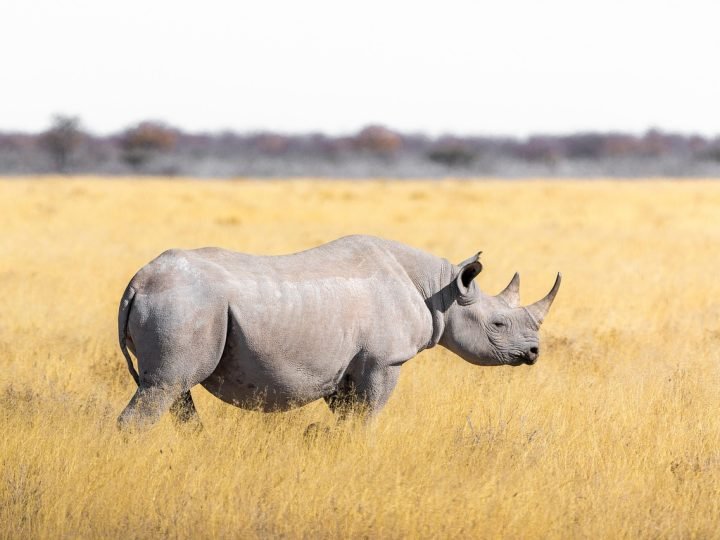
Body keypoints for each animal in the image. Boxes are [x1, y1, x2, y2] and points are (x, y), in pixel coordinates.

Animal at [117, 235, 560, 430]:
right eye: (498, 325)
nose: (534, 353)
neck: (442, 290)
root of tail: (138, 282)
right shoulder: (384, 360)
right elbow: (368, 416)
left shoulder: (346, 365)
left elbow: (348, 417)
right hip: (186, 303)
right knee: (164, 386)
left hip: (186, 305)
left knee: (174, 389)